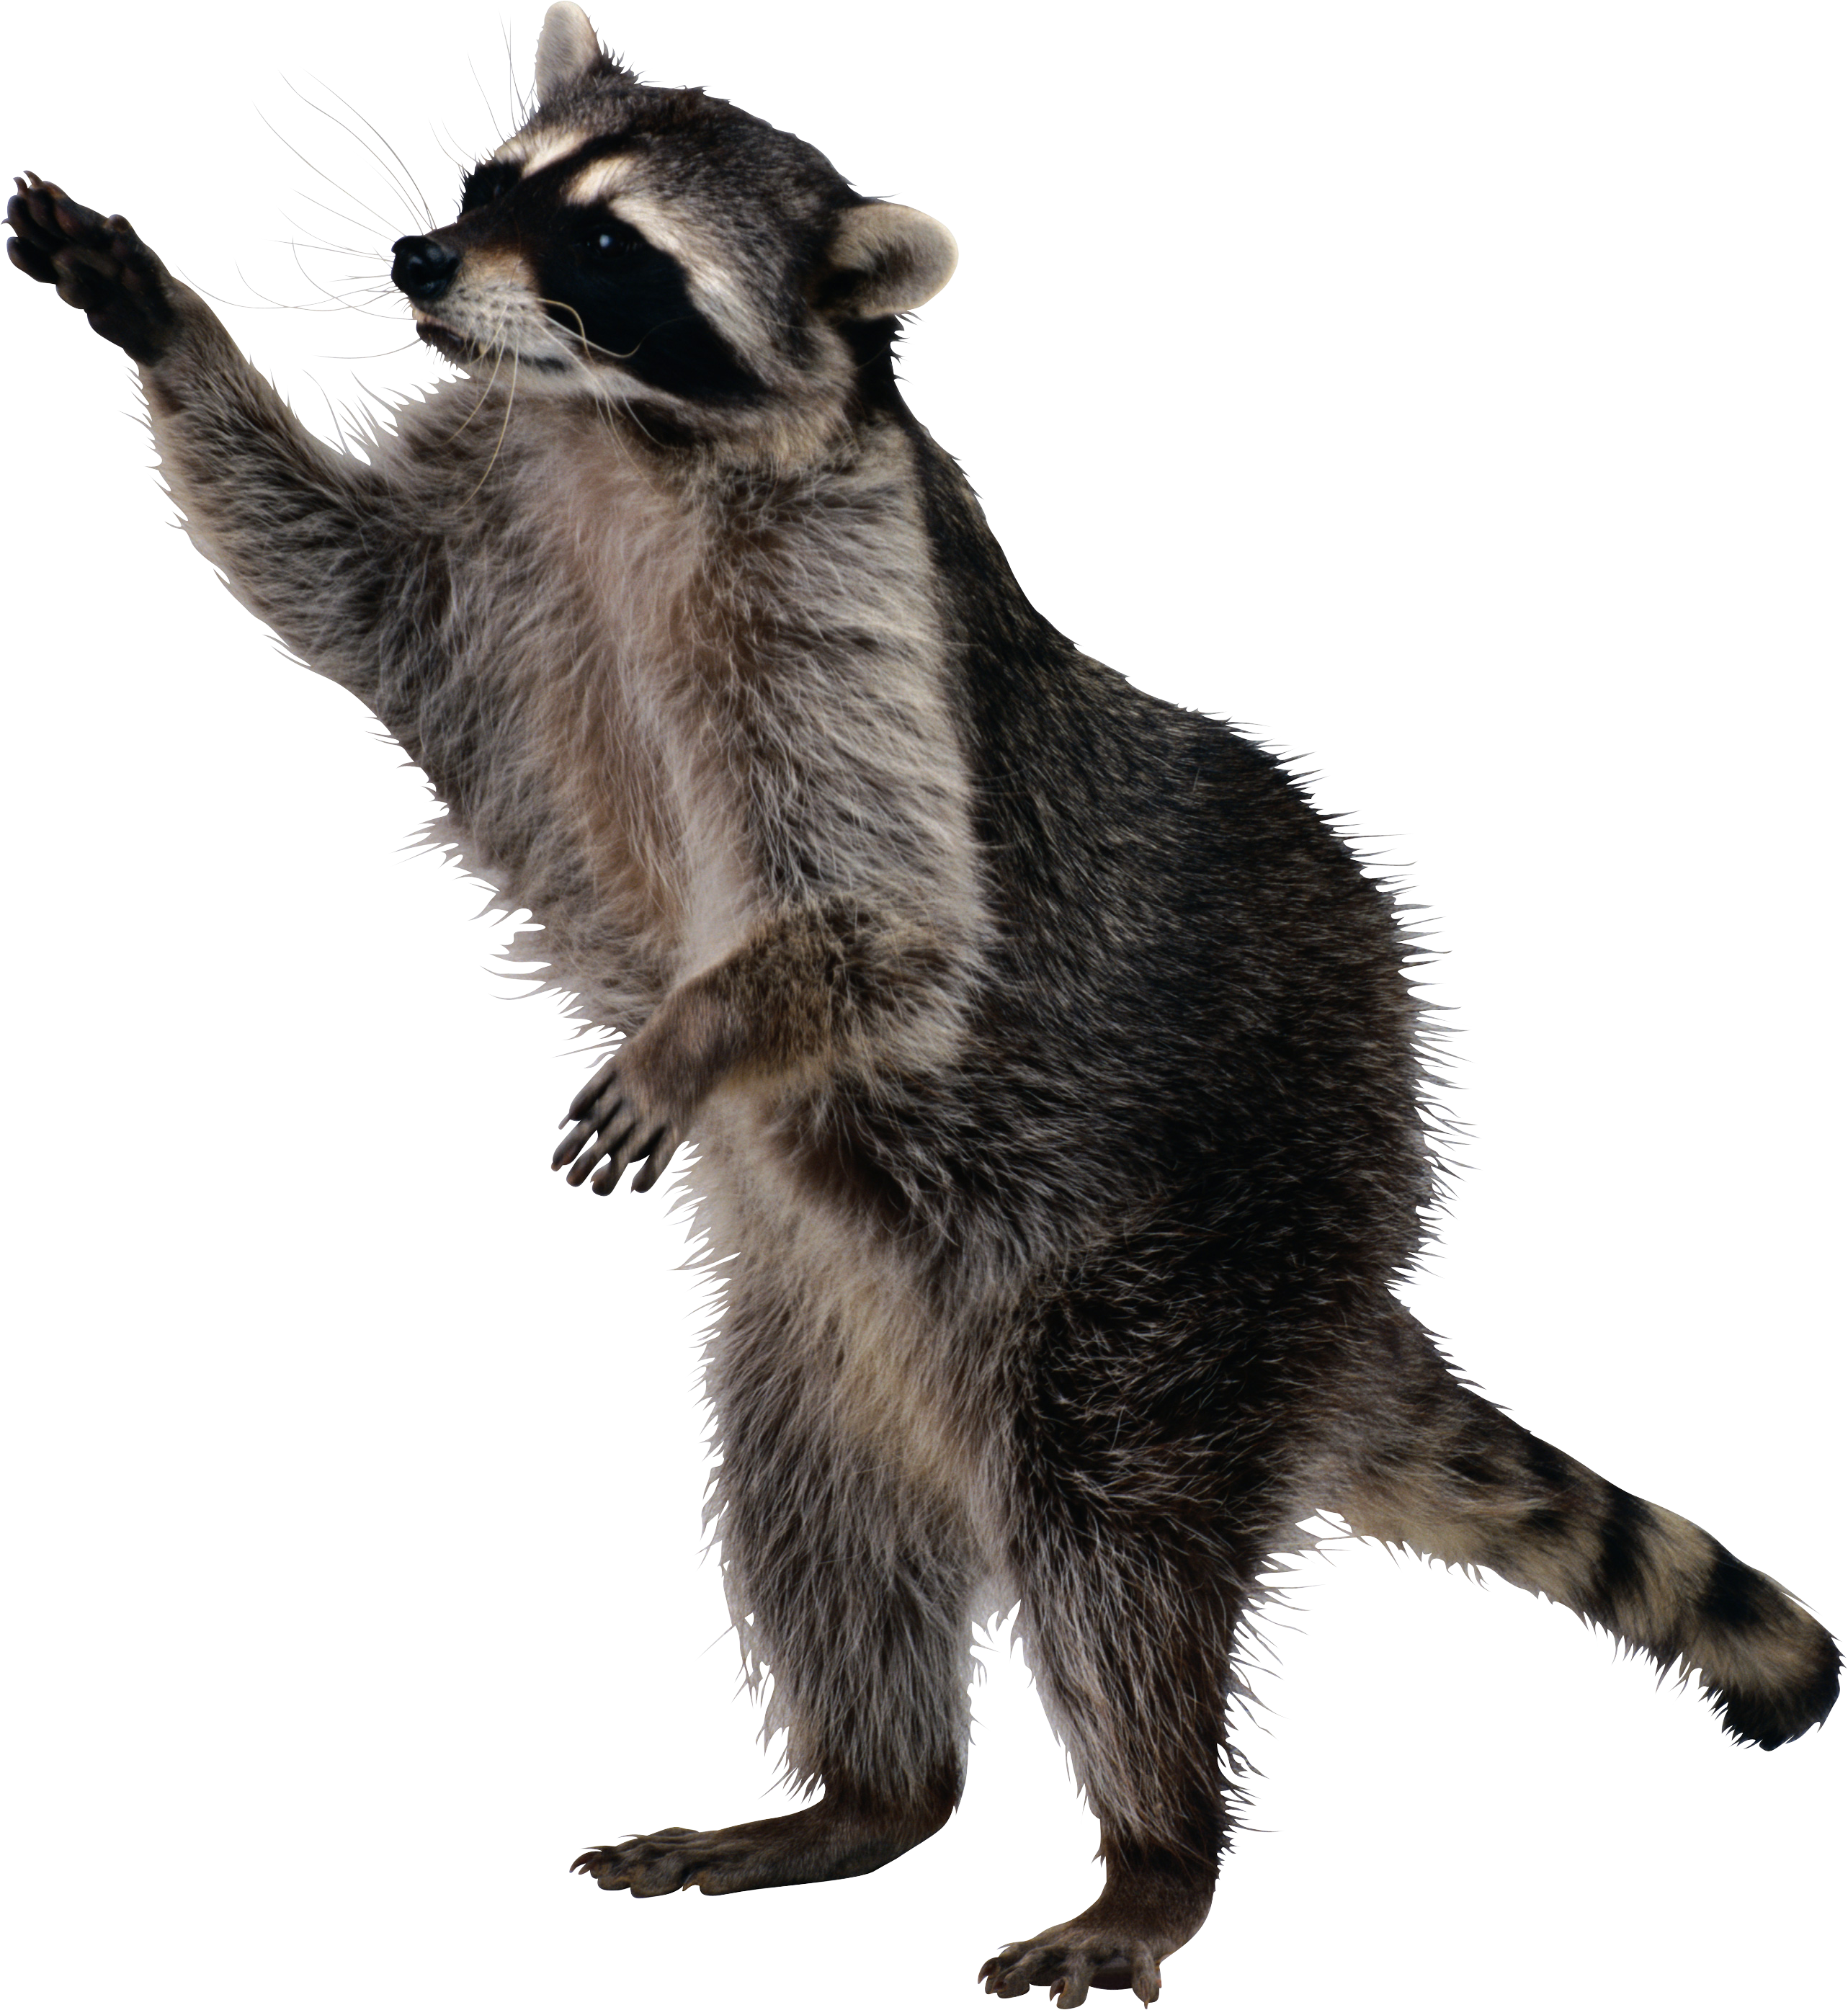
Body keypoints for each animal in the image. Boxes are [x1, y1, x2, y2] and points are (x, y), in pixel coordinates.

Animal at [7, 6, 1837, 2003]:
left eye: (606, 250)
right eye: (496, 186)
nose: (419, 258)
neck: (615, 436)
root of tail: (1342, 1296)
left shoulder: (848, 596)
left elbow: (896, 917)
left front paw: (702, 1027)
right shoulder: (486, 543)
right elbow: (317, 572)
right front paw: (162, 320)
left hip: (1185, 1248)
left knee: (1116, 1542)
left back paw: (1155, 1847)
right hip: (831, 1328)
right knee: (817, 1517)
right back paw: (869, 1792)